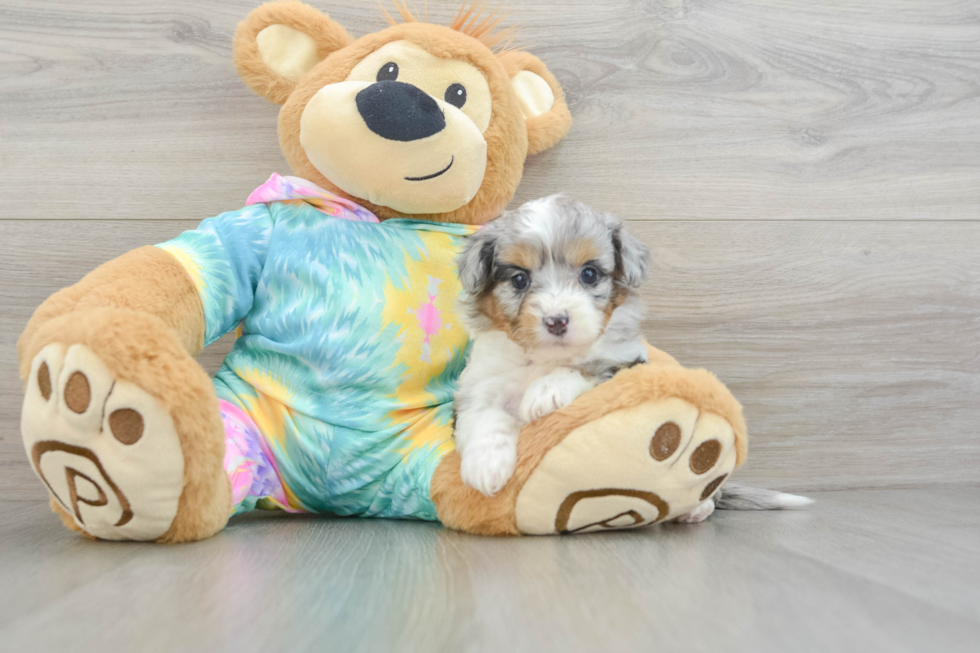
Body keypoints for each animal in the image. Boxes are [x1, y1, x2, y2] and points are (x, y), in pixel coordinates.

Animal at [454, 196, 652, 496]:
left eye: (589, 274)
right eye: (519, 279)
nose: (556, 321)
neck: (543, 358)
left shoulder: (624, 358)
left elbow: (587, 366)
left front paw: (546, 392)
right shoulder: (480, 383)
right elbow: (485, 416)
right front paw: (486, 465)